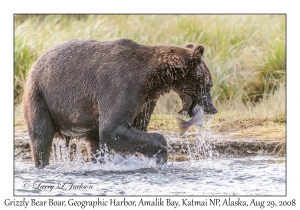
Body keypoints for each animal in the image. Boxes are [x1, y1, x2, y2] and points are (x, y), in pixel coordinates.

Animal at [22, 38, 216, 168]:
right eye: (209, 84)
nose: (213, 108)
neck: (153, 80)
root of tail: (35, 63)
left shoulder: (145, 101)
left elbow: (132, 129)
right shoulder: (122, 85)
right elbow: (112, 128)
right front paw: (160, 153)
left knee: (95, 141)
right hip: (40, 96)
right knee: (41, 137)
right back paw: (42, 163)